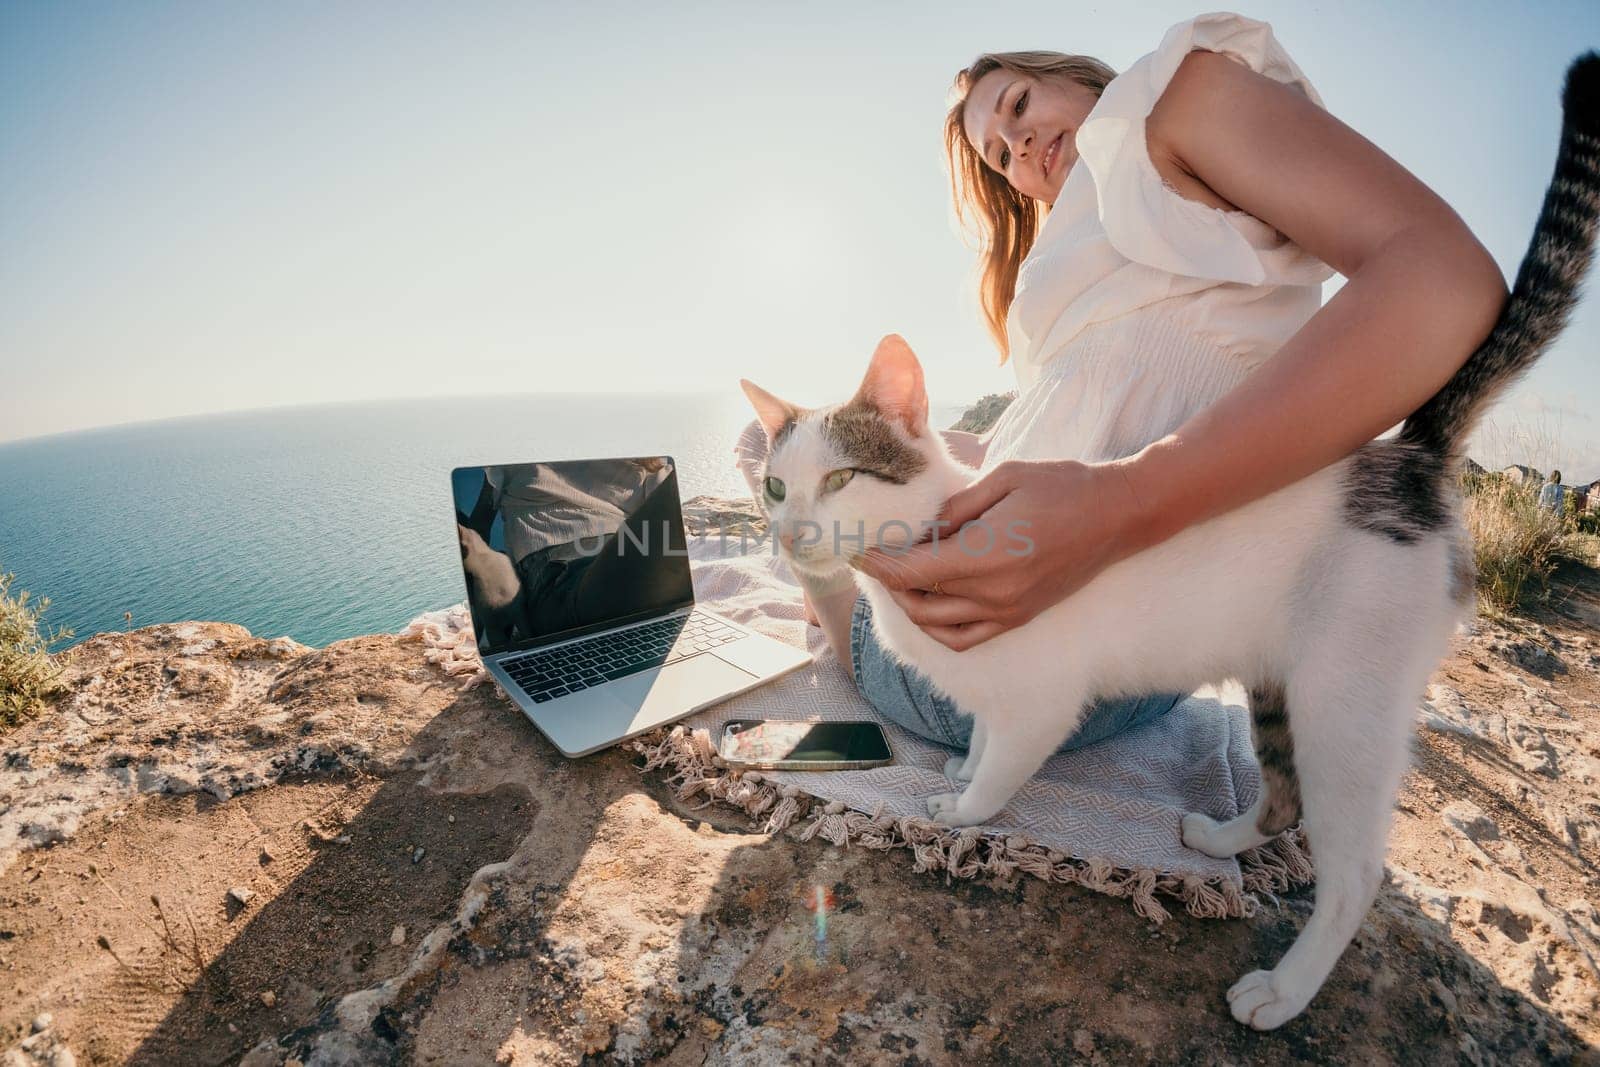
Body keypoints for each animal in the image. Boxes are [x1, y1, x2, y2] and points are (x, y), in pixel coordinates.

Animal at [736, 54, 1600, 1030]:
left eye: (842, 479)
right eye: (776, 485)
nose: (788, 530)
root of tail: (1409, 455)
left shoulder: (1041, 699)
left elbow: (1002, 771)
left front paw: (961, 809)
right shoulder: (1001, 699)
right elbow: (986, 742)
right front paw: (963, 769)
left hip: (1345, 699)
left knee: (1354, 868)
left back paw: (1285, 989)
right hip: (1275, 680)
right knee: (1283, 796)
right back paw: (1221, 836)